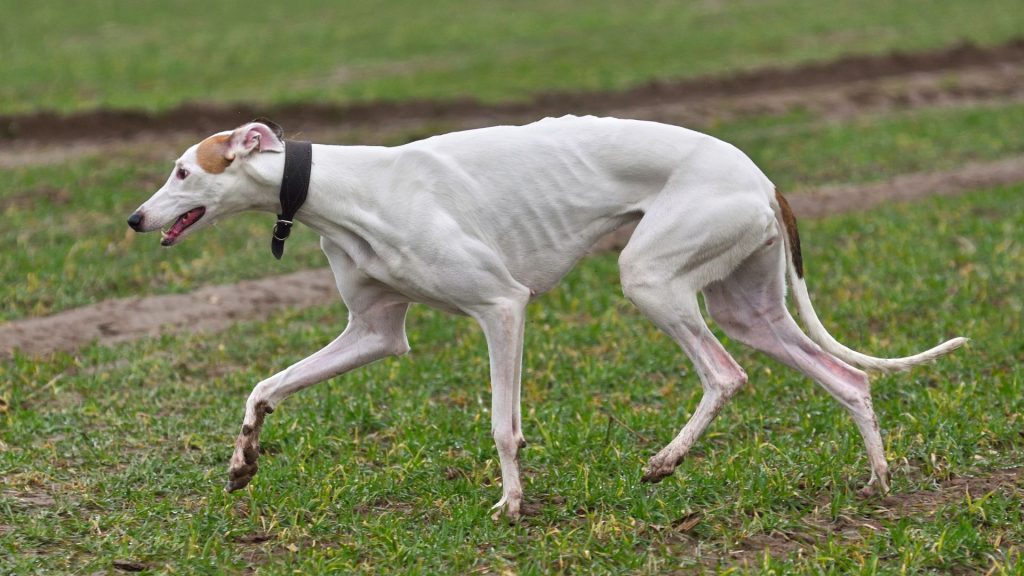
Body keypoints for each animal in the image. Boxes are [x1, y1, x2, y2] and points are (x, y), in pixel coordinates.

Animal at [130, 116, 966, 520]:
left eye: (181, 171)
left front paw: (510, 501)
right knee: (849, 379)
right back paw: (877, 480)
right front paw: (243, 460)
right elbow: (265, 387)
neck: (345, 186)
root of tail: (761, 176)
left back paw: (666, 461)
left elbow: (503, 424)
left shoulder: (502, 307)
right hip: (747, 304)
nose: (136, 219)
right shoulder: (373, 333)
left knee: (728, 375)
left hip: (652, 278)